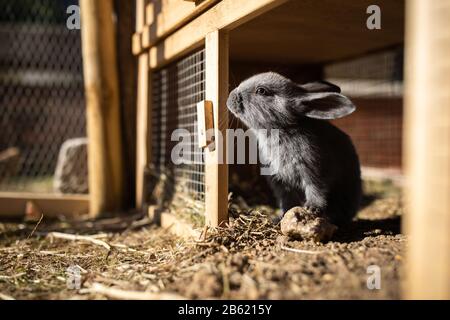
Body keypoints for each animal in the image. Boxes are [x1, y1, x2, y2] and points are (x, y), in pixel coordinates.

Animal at [227, 72, 360, 225]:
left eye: (261, 91)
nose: (230, 98)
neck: (281, 130)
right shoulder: (281, 184)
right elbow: (287, 202)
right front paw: (280, 217)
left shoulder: (315, 172)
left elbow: (316, 191)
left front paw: (312, 208)